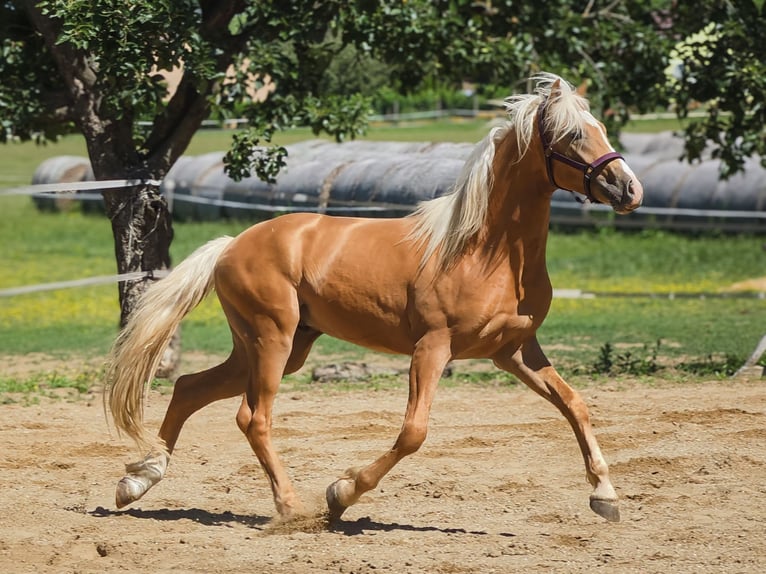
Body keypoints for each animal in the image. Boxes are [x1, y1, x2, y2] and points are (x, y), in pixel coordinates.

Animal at [105, 73, 643, 524]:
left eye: (600, 127)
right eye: (572, 135)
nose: (629, 189)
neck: (484, 252)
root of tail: (233, 244)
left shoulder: (513, 351)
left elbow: (575, 405)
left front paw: (605, 496)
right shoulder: (433, 348)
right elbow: (413, 433)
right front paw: (340, 494)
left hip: (276, 347)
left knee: (189, 388)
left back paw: (137, 483)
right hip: (271, 340)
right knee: (253, 418)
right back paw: (291, 508)